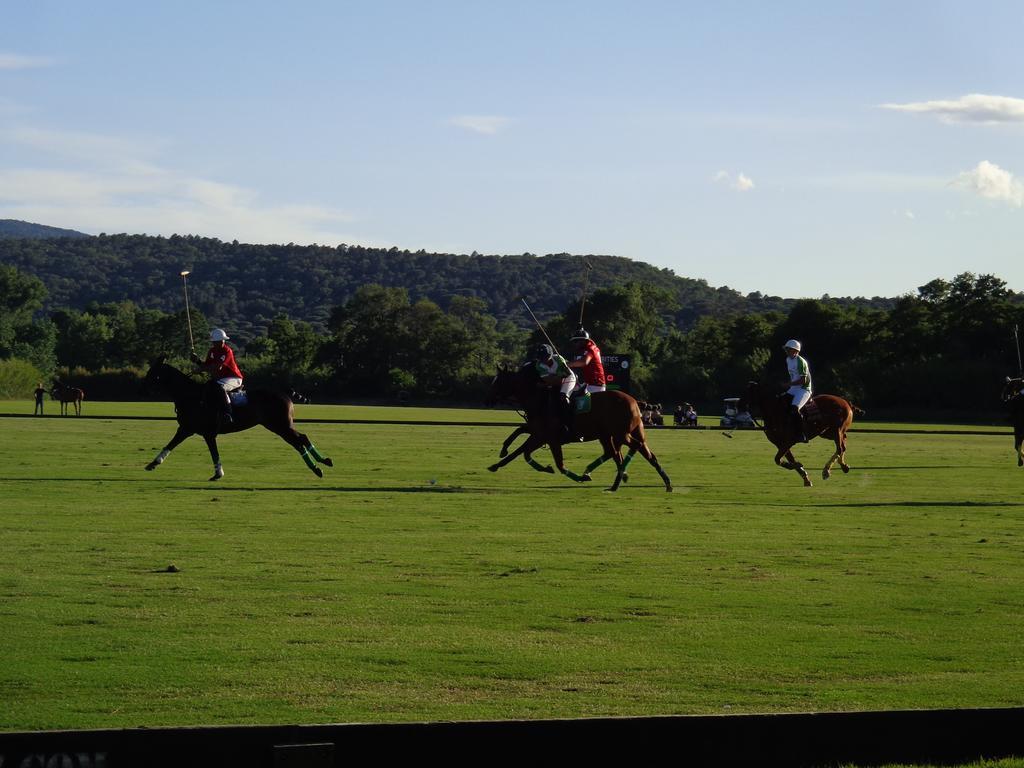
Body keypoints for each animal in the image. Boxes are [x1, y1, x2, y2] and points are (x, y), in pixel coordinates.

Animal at [139, 356, 331, 481]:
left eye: (153, 373)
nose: (143, 389)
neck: (191, 396)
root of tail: (283, 391)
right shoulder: (187, 429)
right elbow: (170, 444)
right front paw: (153, 464)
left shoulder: (206, 432)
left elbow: (214, 452)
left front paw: (218, 474)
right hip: (278, 425)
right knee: (301, 439)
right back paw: (323, 463)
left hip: (280, 425)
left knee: (299, 441)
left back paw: (319, 467)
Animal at [485, 364, 671, 493]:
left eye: (498, 382)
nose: (488, 400)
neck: (540, 400)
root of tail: (634, 401)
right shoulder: (538, 433)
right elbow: (519, 443)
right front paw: (499, 458)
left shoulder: (548, 437)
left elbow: (555, 463)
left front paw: (560, 472)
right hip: (620, 433)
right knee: (642, 455)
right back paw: (662, 483)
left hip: (620, 433)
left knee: (630, 449)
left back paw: (617, 478)